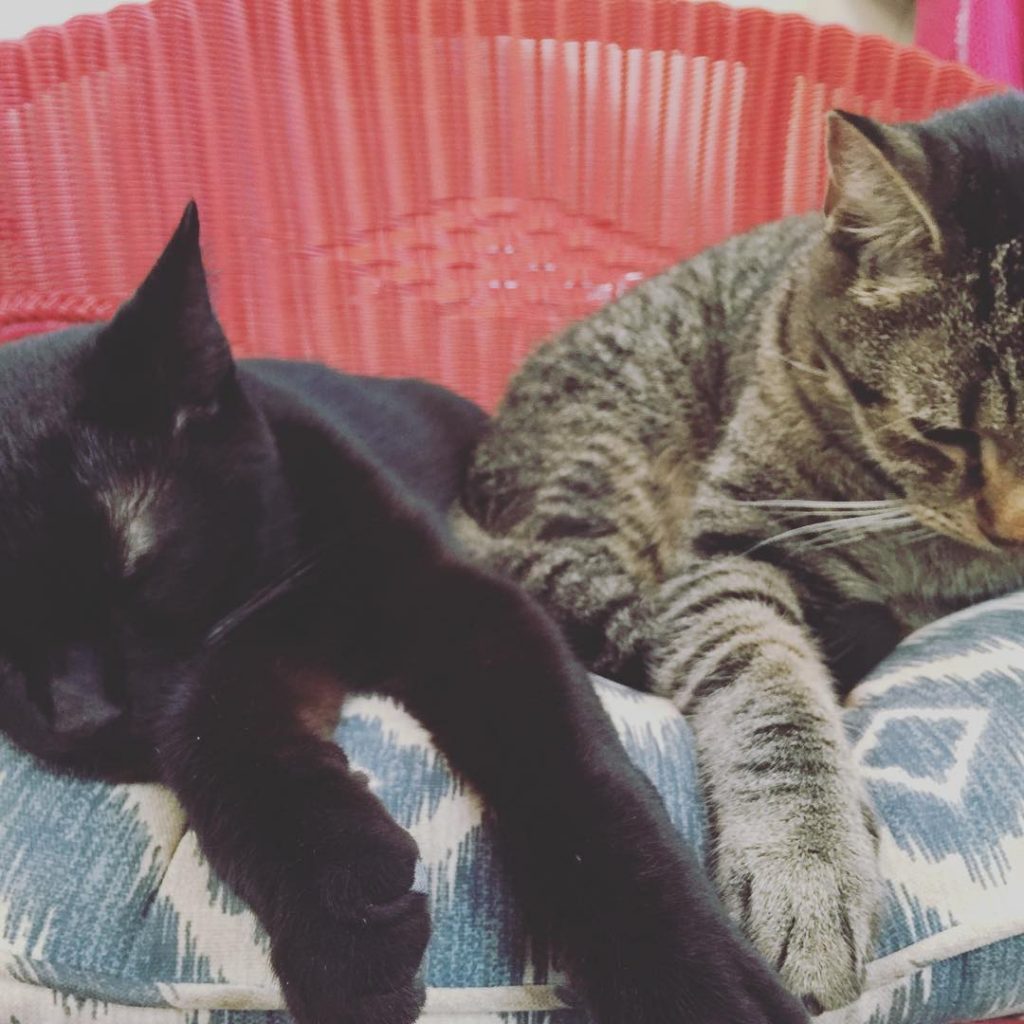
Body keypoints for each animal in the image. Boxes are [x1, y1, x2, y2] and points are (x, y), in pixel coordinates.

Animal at [0, 203, 809, 1024]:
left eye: (138, 562)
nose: (77, 714)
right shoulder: (239, 663)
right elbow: (222, 750)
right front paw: (343, 918)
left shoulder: (466, 606)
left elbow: (574, 775)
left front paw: (686, 974)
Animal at [455, 92, 1024, 1014]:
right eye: (941, 433)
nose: (1012, 528)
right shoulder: (737, 542)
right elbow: (769, 690)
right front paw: (808, 863)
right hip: (603, 461)